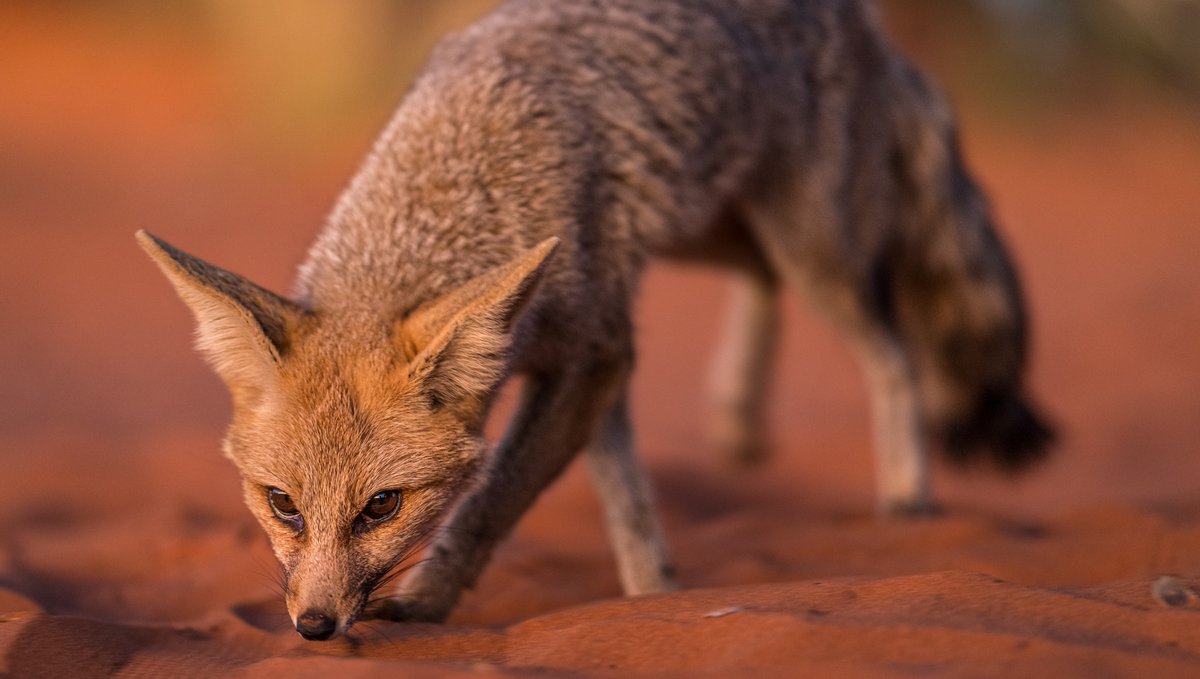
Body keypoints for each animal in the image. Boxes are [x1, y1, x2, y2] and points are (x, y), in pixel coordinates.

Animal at [137, 0, 1053, 641]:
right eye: (283, 504)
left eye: (382, 507)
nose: (315, 627)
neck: (475, 171)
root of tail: (873, 27)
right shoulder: (594, 353)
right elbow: (625, 491)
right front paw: (654, 593)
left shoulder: (594, 351)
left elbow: (495, 499)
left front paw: (428, 601)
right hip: (710, 229)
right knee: (765, 281)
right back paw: (739, 416)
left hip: (807, 245)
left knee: (892, 345)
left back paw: (906, 491)